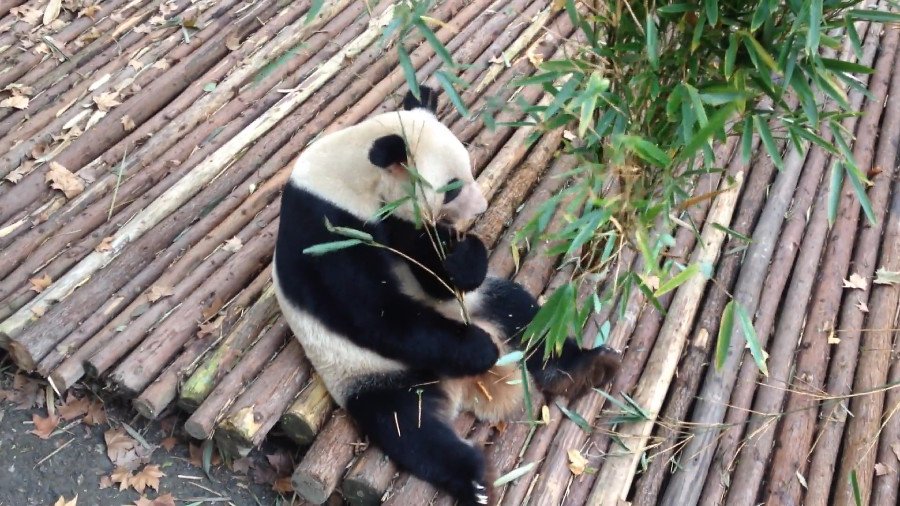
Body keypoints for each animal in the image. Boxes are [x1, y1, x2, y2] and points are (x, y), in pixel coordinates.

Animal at [273, 85, 621, 506]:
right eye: (452, 187)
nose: (482, 208)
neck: (346, 176)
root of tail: (463, 388)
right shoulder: (322, 229)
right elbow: (373, 312)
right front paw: (478, 348)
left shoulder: (400, 223)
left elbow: (436, 279)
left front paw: (462, 258)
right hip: (375, 375)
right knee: (412, 430)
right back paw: (474, 481)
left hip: (482, 307)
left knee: (521, 314)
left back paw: (586, 366)